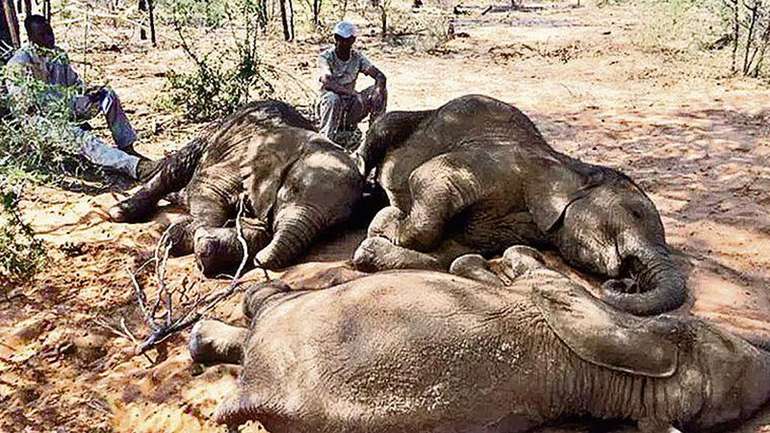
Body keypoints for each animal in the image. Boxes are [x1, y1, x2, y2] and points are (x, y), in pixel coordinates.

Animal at [106, 100, 366, 276]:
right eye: (291, 190)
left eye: (333, 227)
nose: (259, 261)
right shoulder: (241, 160)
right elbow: (208, 187)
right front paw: (182, 237)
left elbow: (260, 229)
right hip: (213, 134)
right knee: (176, 168)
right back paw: (120, 211)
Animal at [188, 246, 768, 432]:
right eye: (723, 337)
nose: (619, 278)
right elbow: (491, 269)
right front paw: (498, 263)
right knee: (266, 301)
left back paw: (202, 341)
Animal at [352, 93, 680, 314]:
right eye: (634, 213)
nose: (626, 283)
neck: (573, 168)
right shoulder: (505, 166)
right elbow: (428, 176)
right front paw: (384, 222)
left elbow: (452, 251)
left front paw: (372, 248)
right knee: (379, 133)